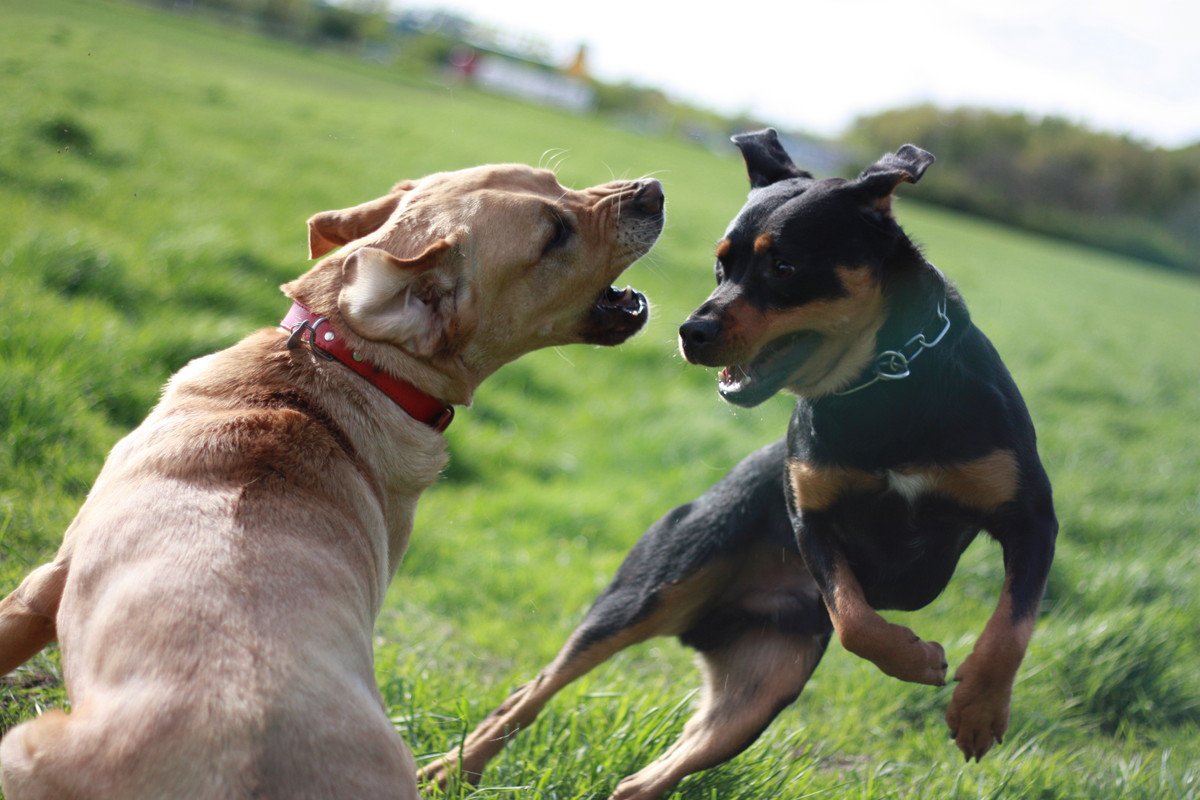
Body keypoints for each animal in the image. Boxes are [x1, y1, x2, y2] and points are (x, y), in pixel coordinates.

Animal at [0, 165, 662, 796]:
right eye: (554, 231)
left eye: (555, 181)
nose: (653, 190)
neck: (345, 361)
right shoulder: (43, 586)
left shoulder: (44, 582)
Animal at [417, 133, 1056, 800]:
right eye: (721, 265)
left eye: (785, 267)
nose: (690, 331)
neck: (885, 380)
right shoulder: (810, 520)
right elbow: (855, 618)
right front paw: (919, 659)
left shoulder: (1032, 518)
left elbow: (1011, 625)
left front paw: (979, 708)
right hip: (652, 589)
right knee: (534, 690)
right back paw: (447, 770)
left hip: (761, 684)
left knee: (642, 781)